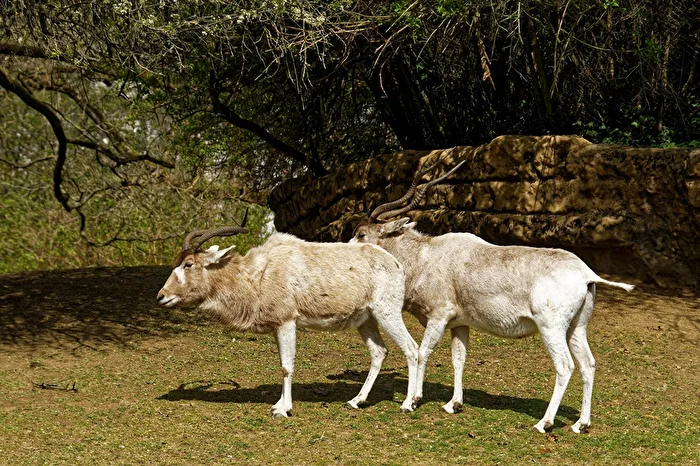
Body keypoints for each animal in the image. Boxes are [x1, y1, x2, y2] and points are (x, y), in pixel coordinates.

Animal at [157, 216, 420, 418]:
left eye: (188, 264)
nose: (161, 296)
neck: (258, 274)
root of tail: (395, 263)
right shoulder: (277, 326)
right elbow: (282, 364)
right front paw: (279, 404)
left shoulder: (287, 322)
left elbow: (286, 366)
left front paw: (283, 409)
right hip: (366, 319)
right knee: (379, 352)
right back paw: (356, 400)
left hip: (387, 312)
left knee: (411, 348)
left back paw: (409, 403)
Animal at [351, 157, 634, 433]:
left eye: (361, 233)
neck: (425, 256)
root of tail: (586, 274)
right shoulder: (460, 324)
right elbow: (458, 359)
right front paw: (454, 404)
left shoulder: (438, 317)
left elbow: (423, 351)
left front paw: (412, 401)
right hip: (576, 327)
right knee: (588, 364)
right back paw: (581, 424)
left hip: (551, 327)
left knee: (565, 366)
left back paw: (544, 423)